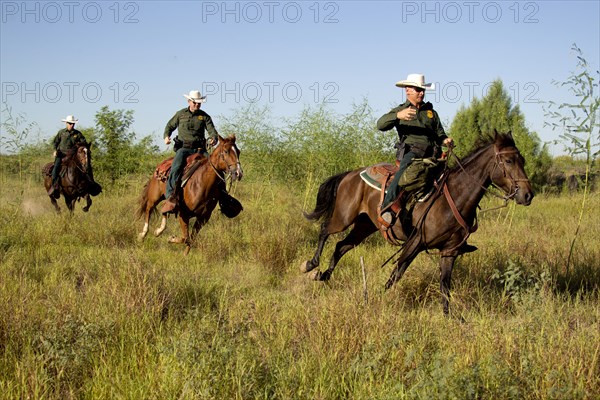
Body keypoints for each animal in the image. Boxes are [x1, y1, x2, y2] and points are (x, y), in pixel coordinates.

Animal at [300, 133, 536, 314]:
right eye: (508, 161)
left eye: (523, 160)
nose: (527, 195)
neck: (454, 197)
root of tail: (351, 173)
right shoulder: (415, 243)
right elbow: (396, 274)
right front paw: (378, 298)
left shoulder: (449, 251)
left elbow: (445, 285)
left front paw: (452, 318)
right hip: (344, 217)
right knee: (325, 230)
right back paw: (310, 265)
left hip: (365, 225)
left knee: (342, 246)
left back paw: (323, 275)